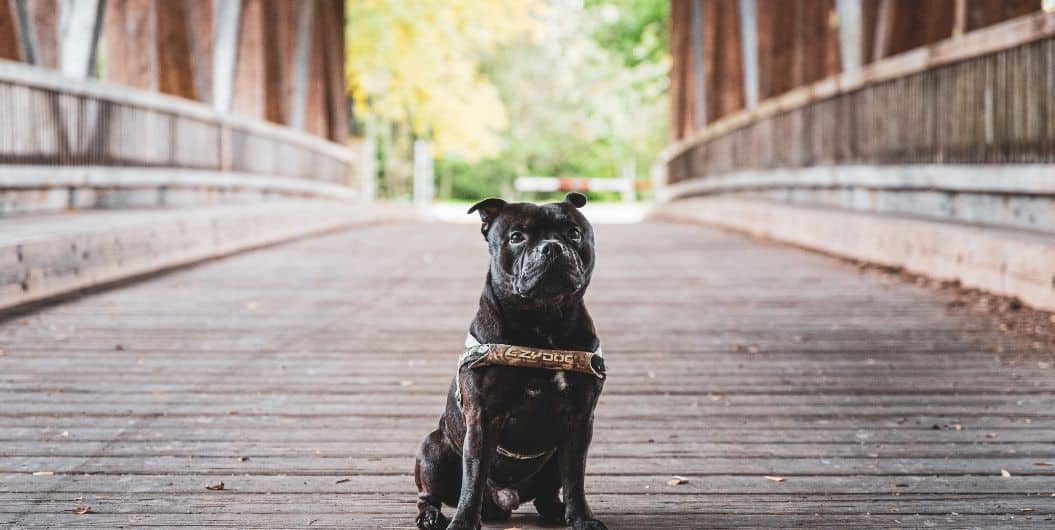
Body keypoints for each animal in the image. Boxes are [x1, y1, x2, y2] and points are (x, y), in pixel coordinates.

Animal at [415, 193, 607, 530]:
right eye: (516, 237)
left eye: (573, 233)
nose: (551, 247)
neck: (543, 321)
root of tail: (504, 501)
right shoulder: (482, 418)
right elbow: (473, 478)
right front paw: (463, 522)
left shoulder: (580, 419)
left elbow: (575, 478)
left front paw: (583, 519)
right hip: (432, 449)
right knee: (430, 492)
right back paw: (431, 516)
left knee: (549, 491)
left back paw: (556, 510)